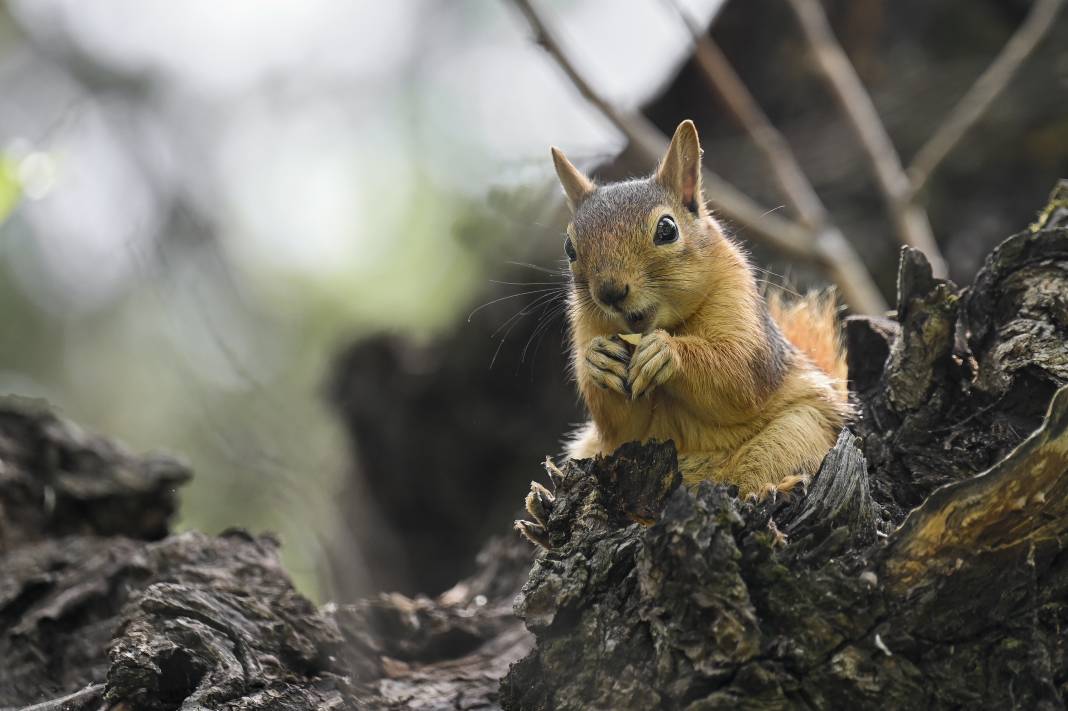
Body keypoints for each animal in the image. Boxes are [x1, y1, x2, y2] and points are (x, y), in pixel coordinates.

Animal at [512, 120, 845, 542]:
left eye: (667, 229)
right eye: (570, 247)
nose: (610, 292)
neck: (666, 324)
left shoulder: (739, 303)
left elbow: (740, 374)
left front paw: (668, 353)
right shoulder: (586, 326)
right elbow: (621, 427)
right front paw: (598, 362)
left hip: (798, 430)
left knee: (766, 466)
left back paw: (773, 490)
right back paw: (542, 510)